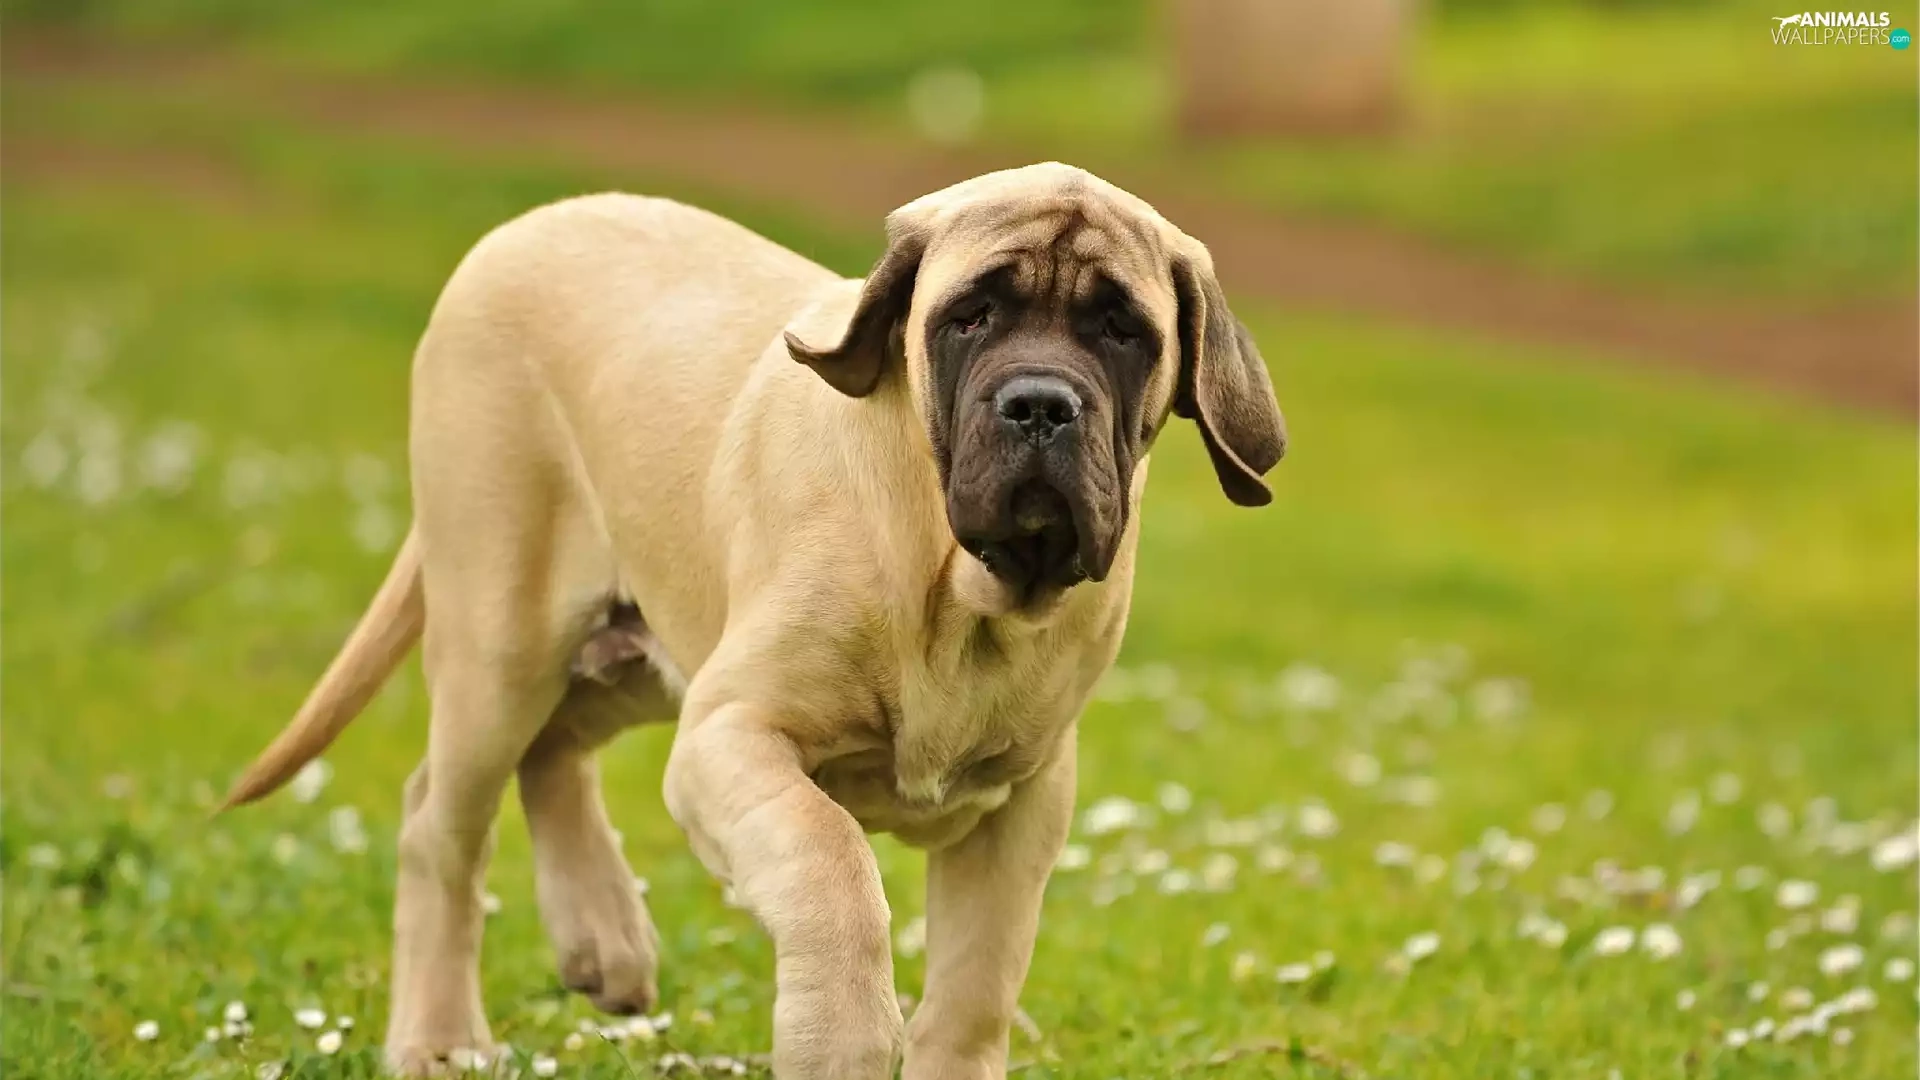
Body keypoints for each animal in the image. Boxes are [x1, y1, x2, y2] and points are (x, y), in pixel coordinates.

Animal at [223, 162, 1285, 1079]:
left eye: (1120, 330)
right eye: (969, 318)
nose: (1039, 405)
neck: (956, 592)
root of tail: (514, 231)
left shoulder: (1025, 802)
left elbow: (975, 989)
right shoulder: (733, 735)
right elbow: (832, 865)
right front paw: (842, 1038)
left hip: (646, 651)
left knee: (550, 749)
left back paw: (601, 938)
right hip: (507, 639)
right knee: (439, 825)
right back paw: (441, 1036)